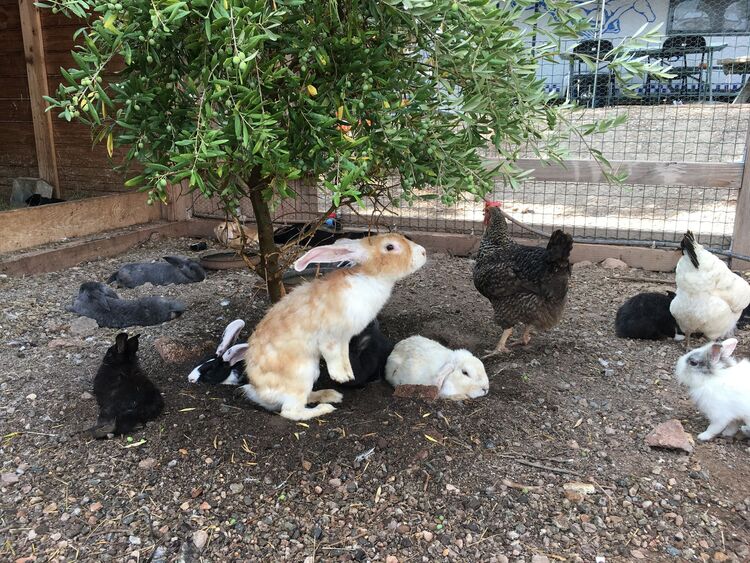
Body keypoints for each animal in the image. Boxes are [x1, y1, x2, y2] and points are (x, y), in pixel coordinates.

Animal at [241, 233, 427, 420]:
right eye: (390, 247)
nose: (423, 252)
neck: (371, 278)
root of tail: (259, 393)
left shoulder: (344, 338)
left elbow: (343, 354)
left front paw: (348, 373)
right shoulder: (329, 336)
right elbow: (331, 355)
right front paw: (341, 377)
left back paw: (331, 395)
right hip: (303, 374)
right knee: (291, 411)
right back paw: (324, 408)